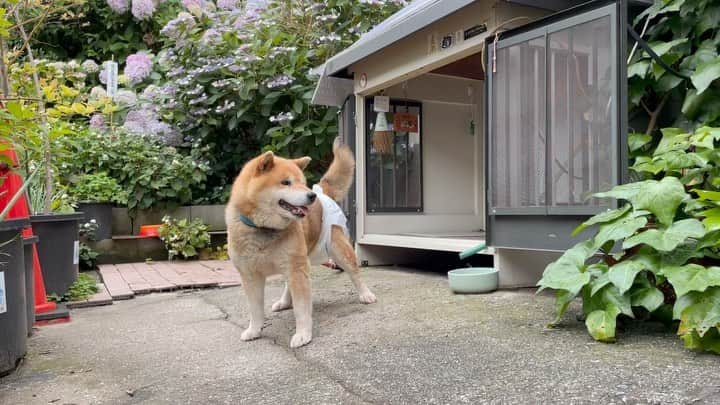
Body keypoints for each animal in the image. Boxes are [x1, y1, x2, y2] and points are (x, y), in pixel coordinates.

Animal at [226, 139, 376, 348]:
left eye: (302, 183)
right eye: (286, 182)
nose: (311, 196)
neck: (264, 228)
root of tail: (322, 192)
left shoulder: (296, 269)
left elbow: (301, 309)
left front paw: (303, 334)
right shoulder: (250, 276)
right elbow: (255, 310)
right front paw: (254, 330)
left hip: (336, 250)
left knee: (355, 273)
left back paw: (365, 294)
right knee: (288, 285)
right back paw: (284, 302)